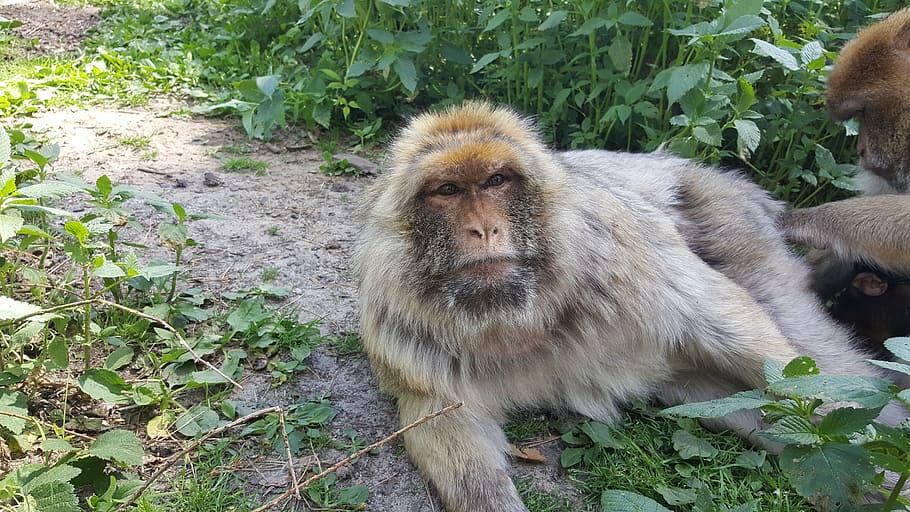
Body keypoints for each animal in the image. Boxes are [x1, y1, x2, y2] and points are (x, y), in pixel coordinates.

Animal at [354, 102, 905, 512]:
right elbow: (440, 418)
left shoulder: (622, 256)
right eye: (447, 190)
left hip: (734, 227)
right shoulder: (402, 325)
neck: (520, 314)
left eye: (495, 181)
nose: (483, 229)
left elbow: (727, 322)